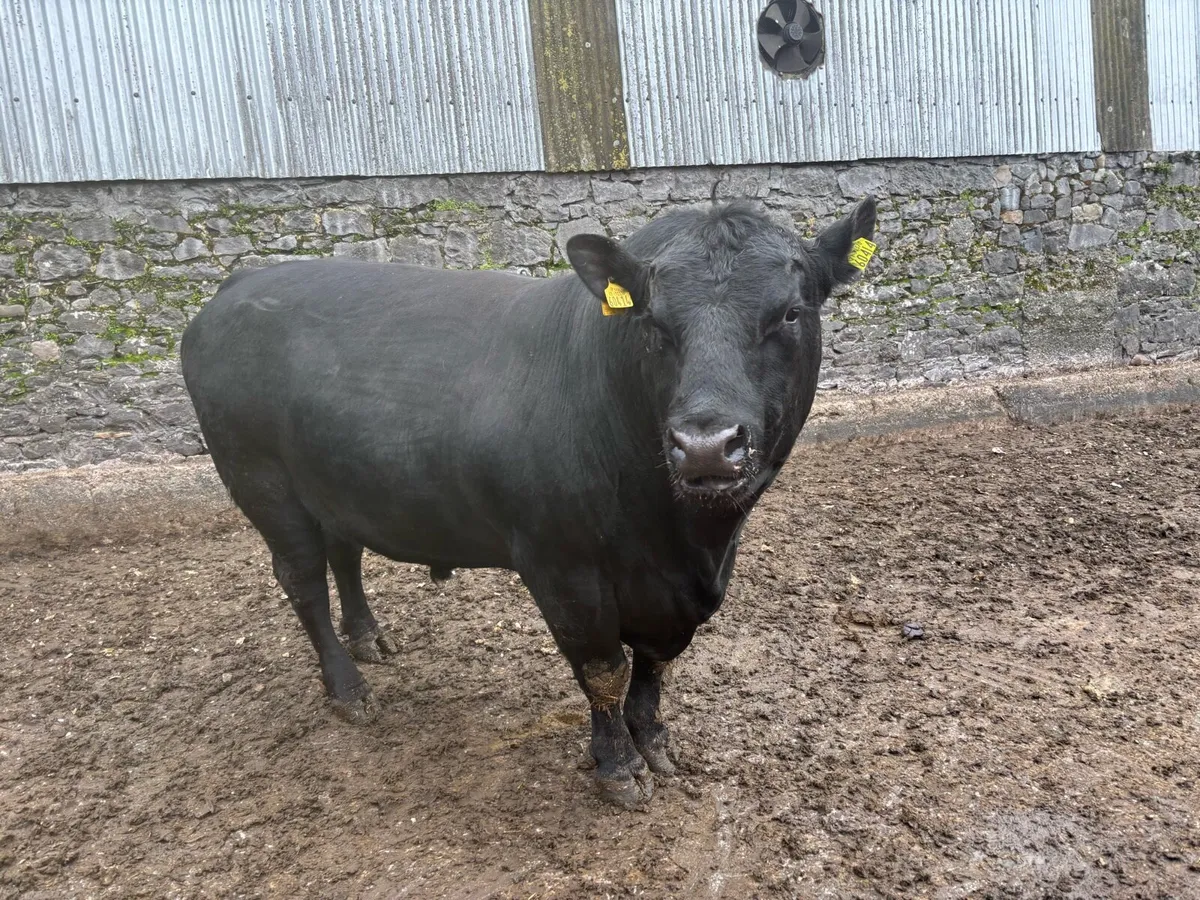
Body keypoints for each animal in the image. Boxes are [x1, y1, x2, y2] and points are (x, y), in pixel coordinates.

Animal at [180, 196, 877, 807]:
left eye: (791, 313)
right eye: (651, 321)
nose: (705, 446)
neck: (682, 540)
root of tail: (242, 281)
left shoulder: (679, 590)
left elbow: (655, 663)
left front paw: (653, 739)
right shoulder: (561, 564)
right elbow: (602, 667)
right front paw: (617, 767)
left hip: (336, 483)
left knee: (344, 554)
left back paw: (369, 638)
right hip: (263, 484)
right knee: (303, 580)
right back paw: (349, 689)